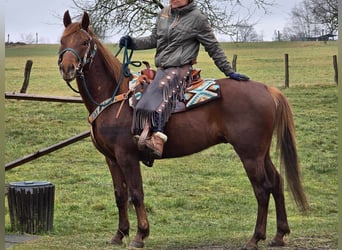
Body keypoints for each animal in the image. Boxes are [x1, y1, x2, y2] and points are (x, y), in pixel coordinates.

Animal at [58, 10, 308, 249]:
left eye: (84, 42)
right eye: (62, 40)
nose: (67, 68)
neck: (114, 96)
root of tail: (267, 89)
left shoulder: (127, 156)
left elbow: (136, 194)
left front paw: (140, 235)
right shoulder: (111, 158)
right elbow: (120, 196)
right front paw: (119, 235)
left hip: (250, 154)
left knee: (262, 189)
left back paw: (255, 238)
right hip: (260, 153)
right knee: (276, 183)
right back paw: (279, 235)